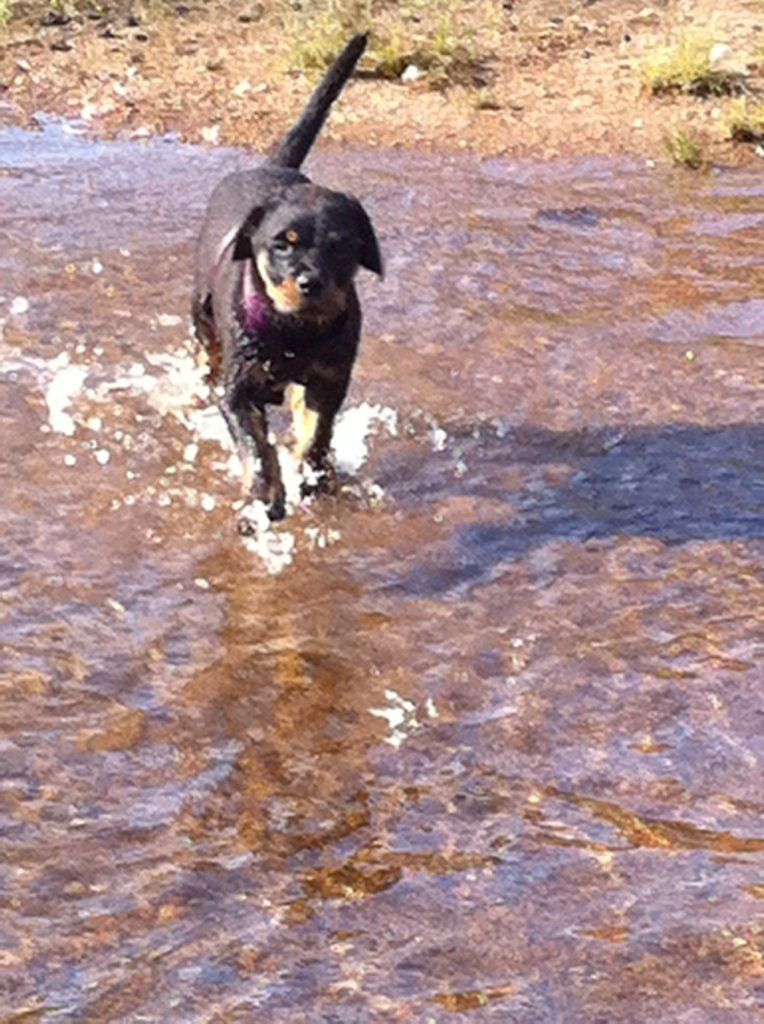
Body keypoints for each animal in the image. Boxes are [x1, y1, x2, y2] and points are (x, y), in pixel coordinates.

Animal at [192, 34, 382, 526]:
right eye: (283, 244)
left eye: (341, 245)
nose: (310, 282)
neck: (294, 332)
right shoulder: (238, 390)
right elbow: (256, 446)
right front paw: (264, 498)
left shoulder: (329, 380)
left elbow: (316, 432)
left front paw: (314, 476)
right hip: (202, 317)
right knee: (205, 355)